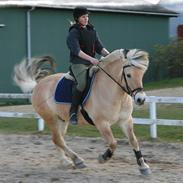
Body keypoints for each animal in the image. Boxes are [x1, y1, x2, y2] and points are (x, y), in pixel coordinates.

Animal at [13, 49, 152, 175]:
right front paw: (103, 158)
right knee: (58, 139)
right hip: (51, 119)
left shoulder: (126, 120)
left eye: (142, 74)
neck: (113, 92)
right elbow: (113, 143)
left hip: (62, 120)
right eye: (128, 75)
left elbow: (133, 141)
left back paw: (66, 162)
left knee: (58, 139)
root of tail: (38, 85)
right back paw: (77, 160)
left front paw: (143, 166)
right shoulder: (102, 123)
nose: (140, 99)